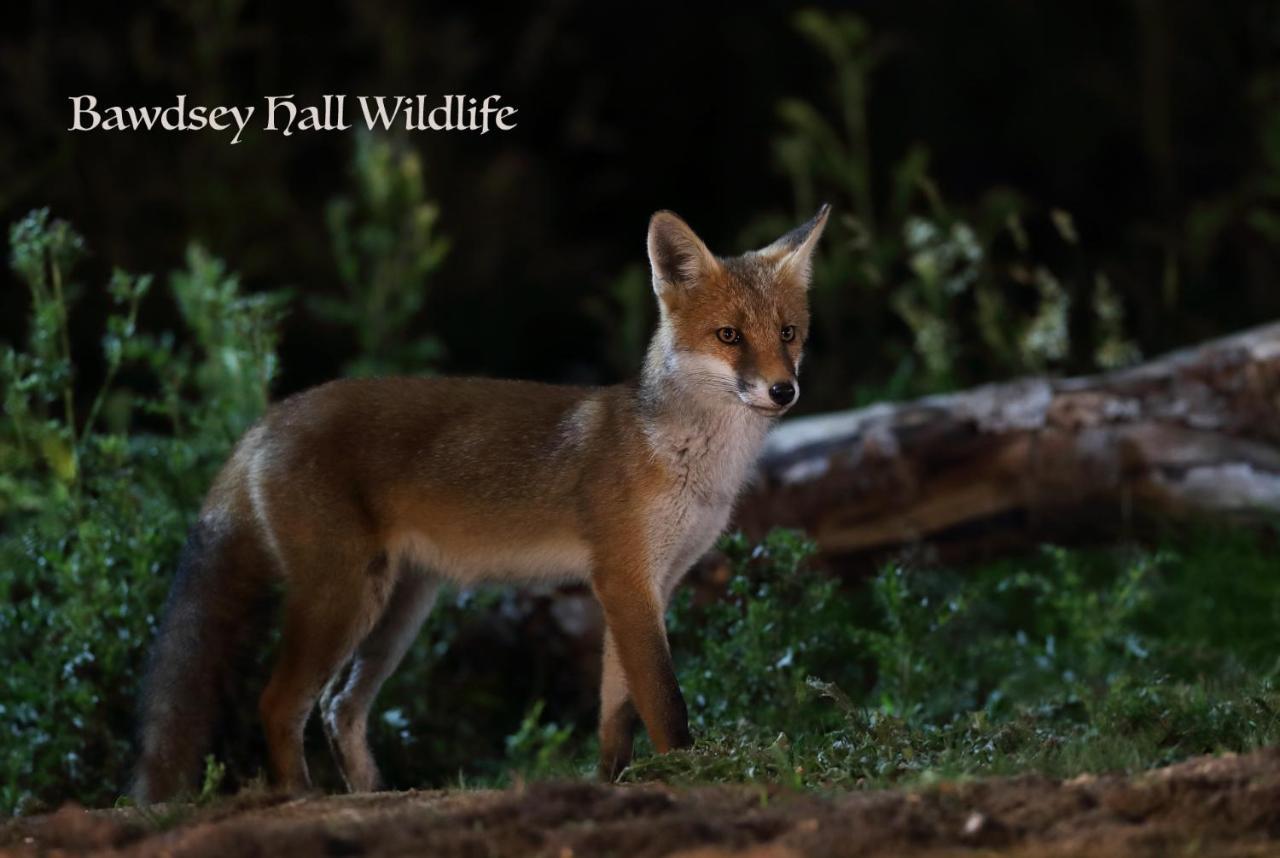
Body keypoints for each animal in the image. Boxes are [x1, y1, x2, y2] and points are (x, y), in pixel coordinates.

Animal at [129, 204, 829, 804]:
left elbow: (617, 712)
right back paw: (302, 798)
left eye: (788, 333)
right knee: (279, 703)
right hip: (342, 598)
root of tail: (269, 417)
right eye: (729, 335)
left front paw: (611, 784)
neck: (686, 459)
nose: (783, 390)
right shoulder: (626, 581)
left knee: (339, 707)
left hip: (398, 608)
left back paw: (377, 796)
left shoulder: (650, 585)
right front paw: (690, 774)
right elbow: (665, 702)